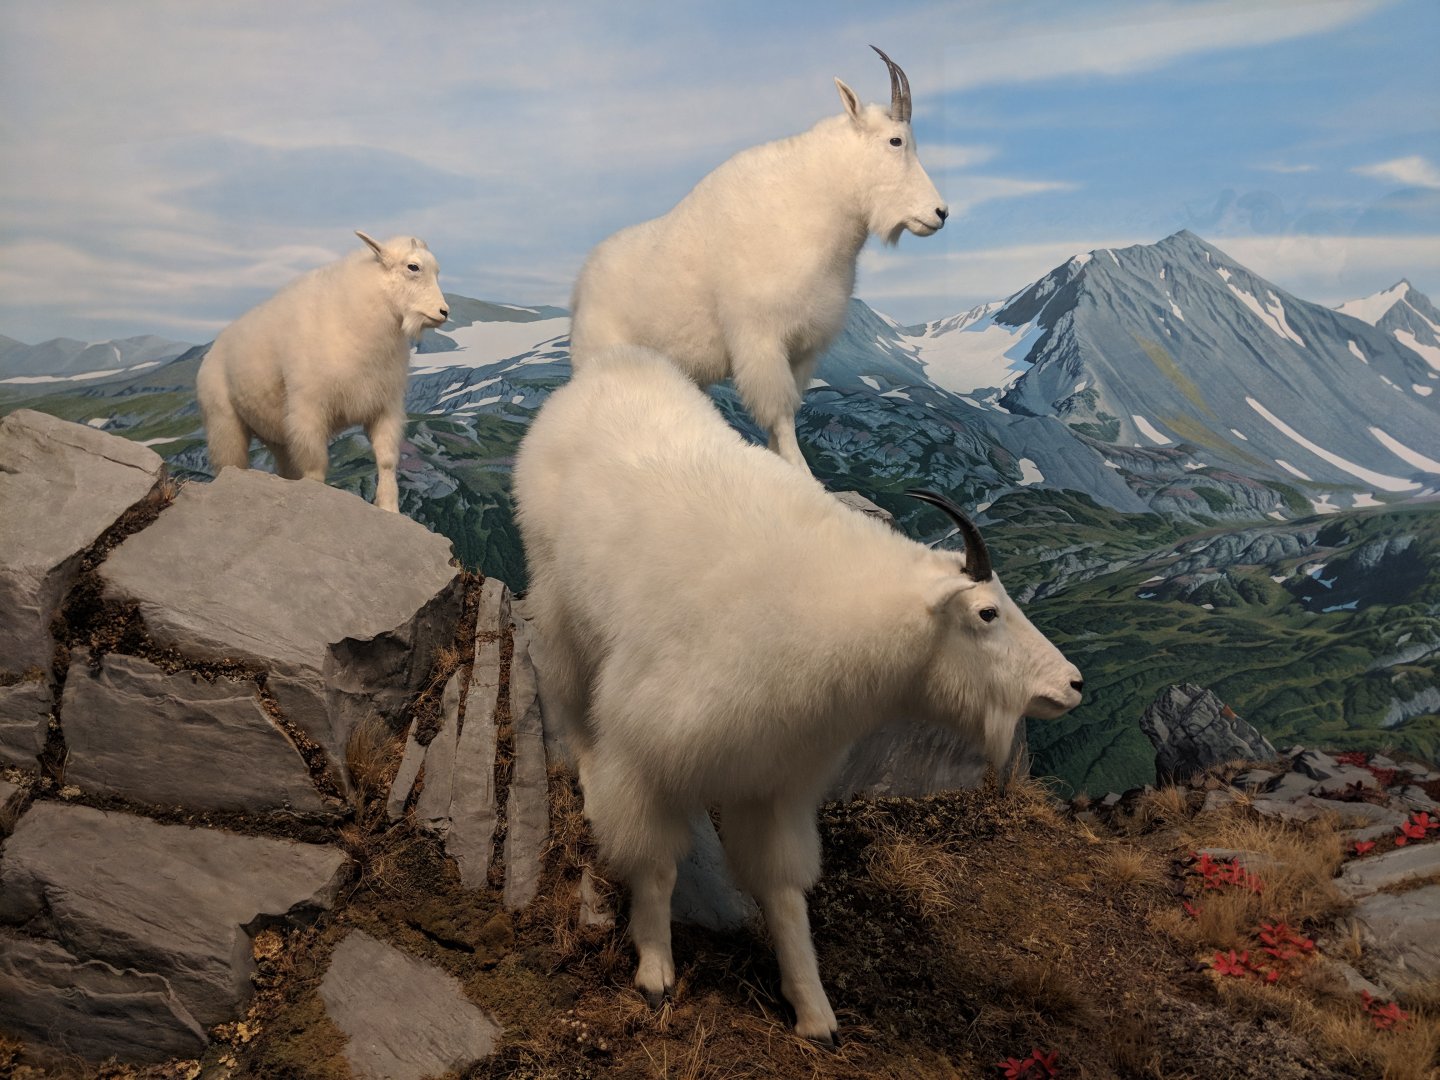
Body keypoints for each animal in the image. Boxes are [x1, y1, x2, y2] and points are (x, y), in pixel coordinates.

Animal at [196, 231, 447, 512]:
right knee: (230, 463)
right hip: (224, 422)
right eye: (413, 267)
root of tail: (213, 349)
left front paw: (389, 508)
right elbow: (315, 468)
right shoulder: (309, 410)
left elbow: (387, 460)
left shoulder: (384, 407)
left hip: (278, 435)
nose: (443, 312)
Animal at [513, 346, 1083, 1045]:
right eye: (986, 613)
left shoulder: (775, 782)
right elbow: (656, 865)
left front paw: (814, 1014)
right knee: (572, 703)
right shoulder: (648, 756)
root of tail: (613, 366)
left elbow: (783, 892)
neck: (824, 612)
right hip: (559, 605)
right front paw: (654, 971)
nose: (1071, 684)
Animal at [568, 47, 948, 472]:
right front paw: (801, 472)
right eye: (895, 141)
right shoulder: (761, 340)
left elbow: (788, 414)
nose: (939, 213)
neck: (815, 202)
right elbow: (779, 413)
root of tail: (581, 281)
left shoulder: (803, 348)